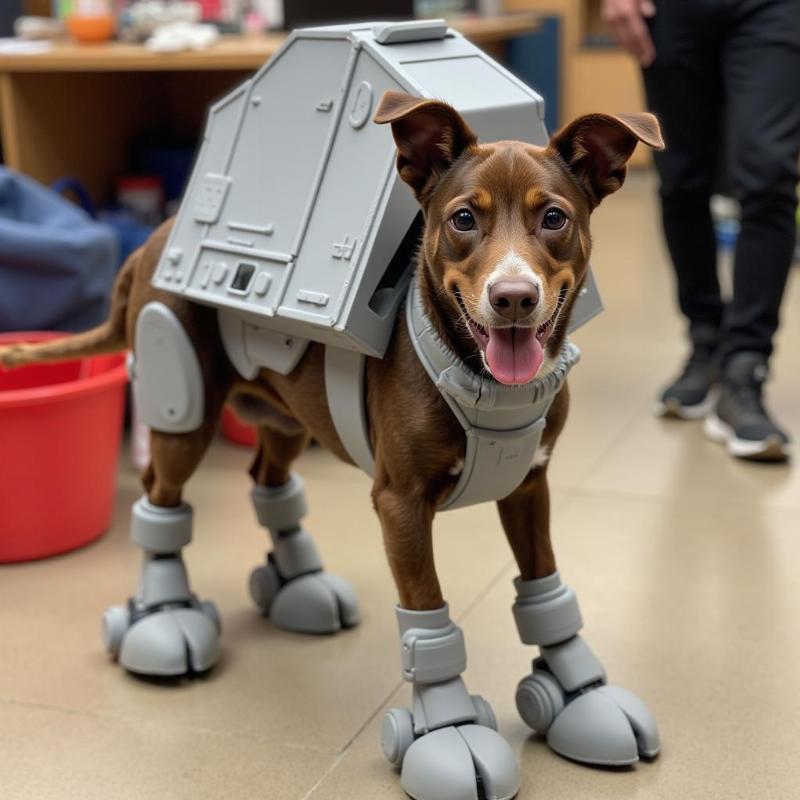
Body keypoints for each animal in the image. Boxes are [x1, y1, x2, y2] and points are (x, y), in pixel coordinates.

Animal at [0, 92, 664, 792]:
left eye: (555, 217)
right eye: (463, 218)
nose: (513, 299)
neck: (481, 379)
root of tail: (152, 240)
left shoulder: (529, 487)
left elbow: (546, 590)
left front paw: (580, 695)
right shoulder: (401, 506)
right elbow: (428, 616)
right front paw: (449, 732)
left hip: (289, 416)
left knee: (268, 482)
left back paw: (297, 588)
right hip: (184, 418)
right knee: (160, 500)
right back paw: (161, 618)